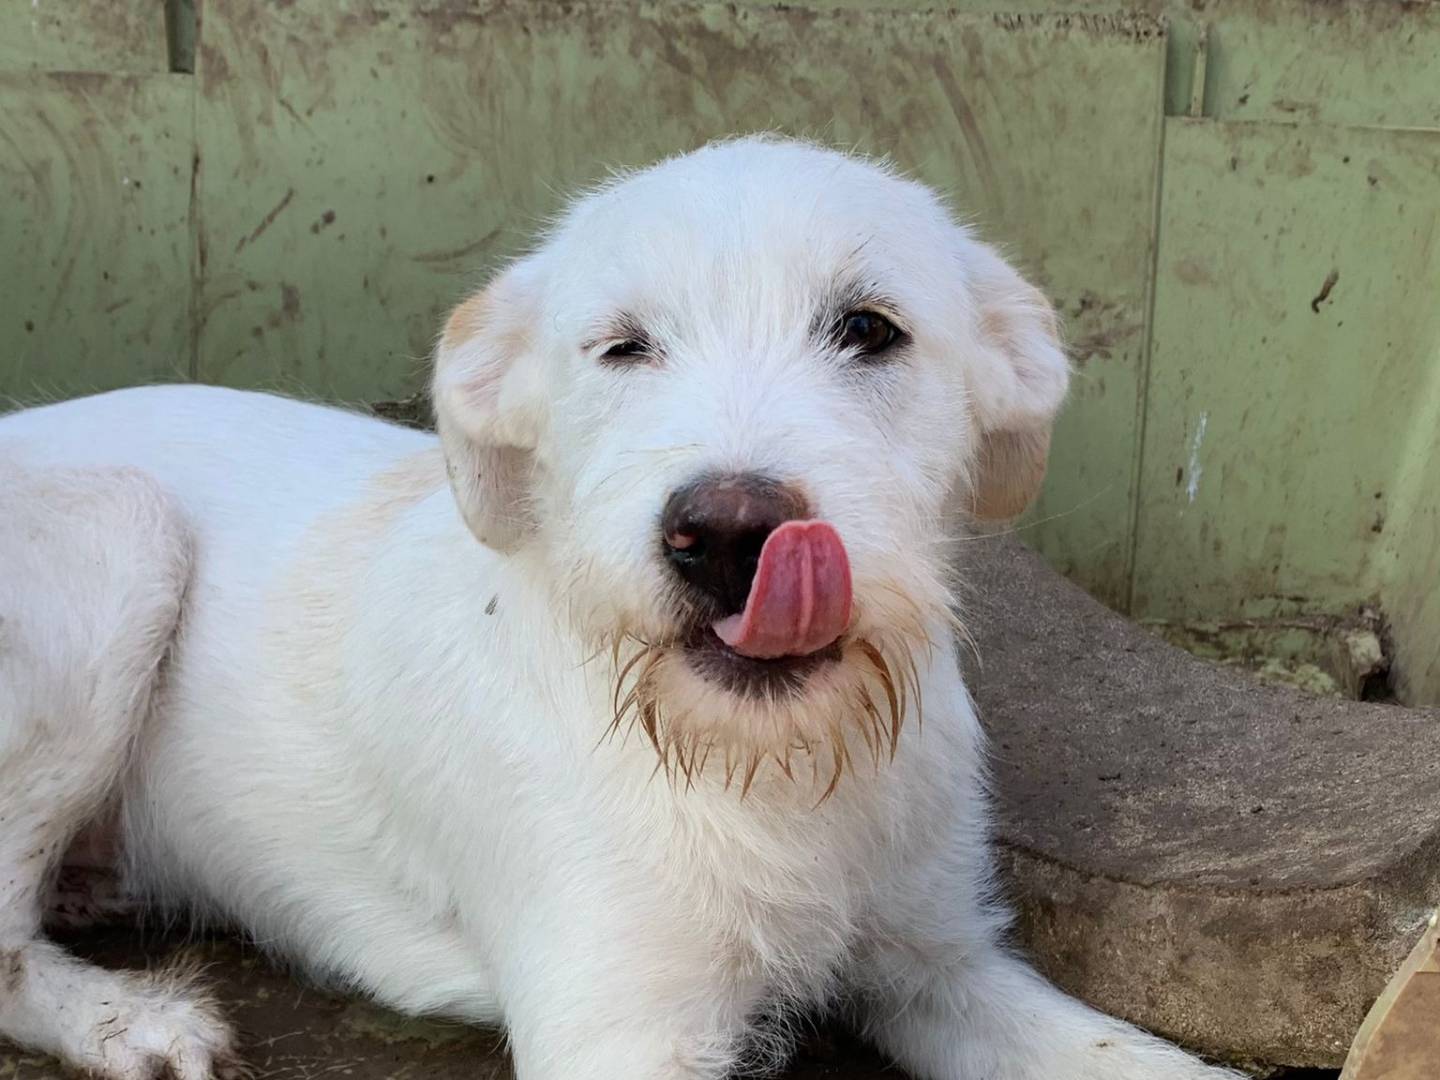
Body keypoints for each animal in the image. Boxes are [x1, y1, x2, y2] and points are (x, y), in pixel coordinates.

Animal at [0, 139, 1238, 1077]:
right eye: (623, 347)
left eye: (869, 328)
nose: (730, 537)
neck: (768, 766)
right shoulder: (624, 1027)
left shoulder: (945, 961)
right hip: (122, 530)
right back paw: (128, 1020)